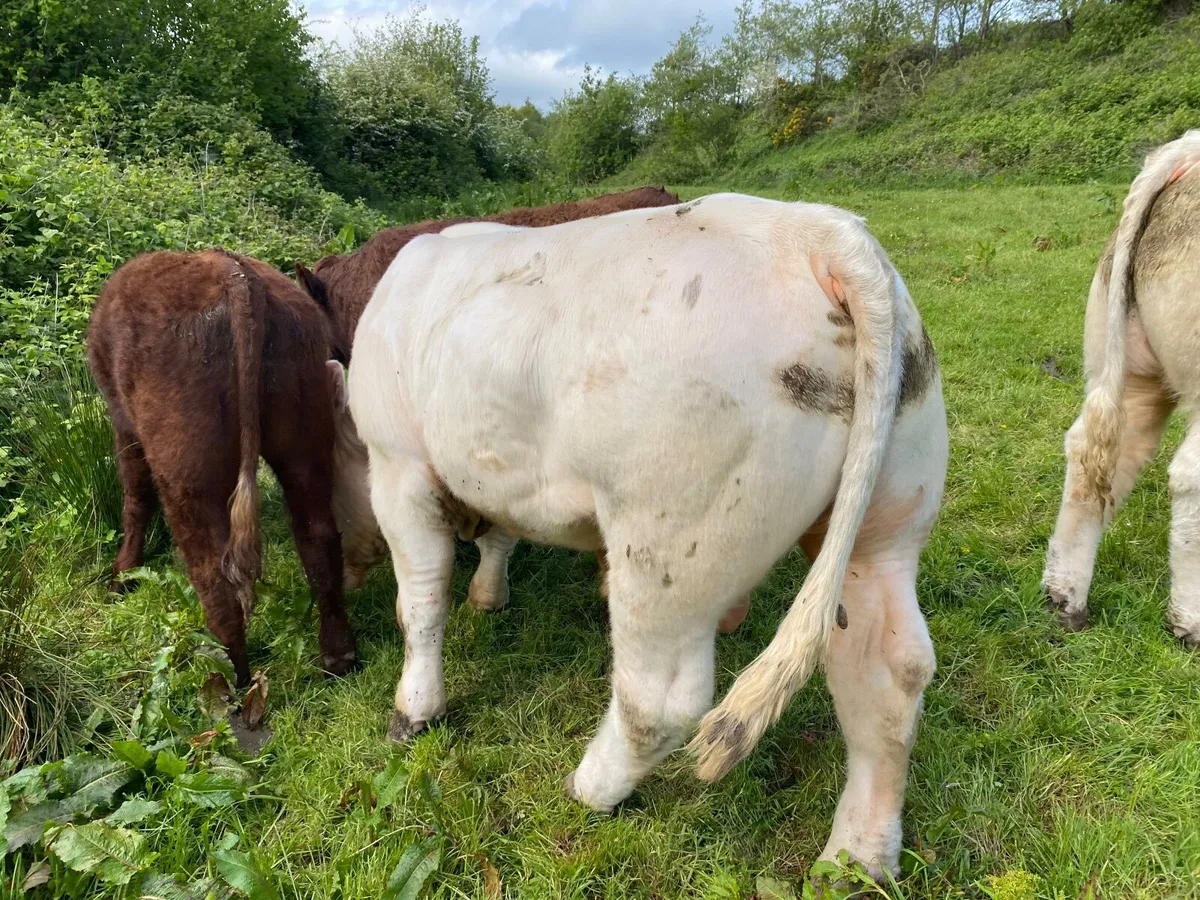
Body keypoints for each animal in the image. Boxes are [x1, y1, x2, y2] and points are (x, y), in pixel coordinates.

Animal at [87, 249, 357, 685]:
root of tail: (234, 272)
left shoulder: (124, 426)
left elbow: (135, 498)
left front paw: (123, 575)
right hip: (304, 443)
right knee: (318, 538)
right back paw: (338, 656)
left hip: (187, 474)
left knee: (214, 575)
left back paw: (230, 680)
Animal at [331, 193, 947, 875]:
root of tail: (815, 232)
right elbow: (498, 538)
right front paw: (489, 596)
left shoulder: (399, 467)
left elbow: (420, 602)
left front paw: (415, 708)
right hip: (886, 523)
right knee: (888, 669)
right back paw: (856, 858)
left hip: (669, 539)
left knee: (658, 701)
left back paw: (591, 787)